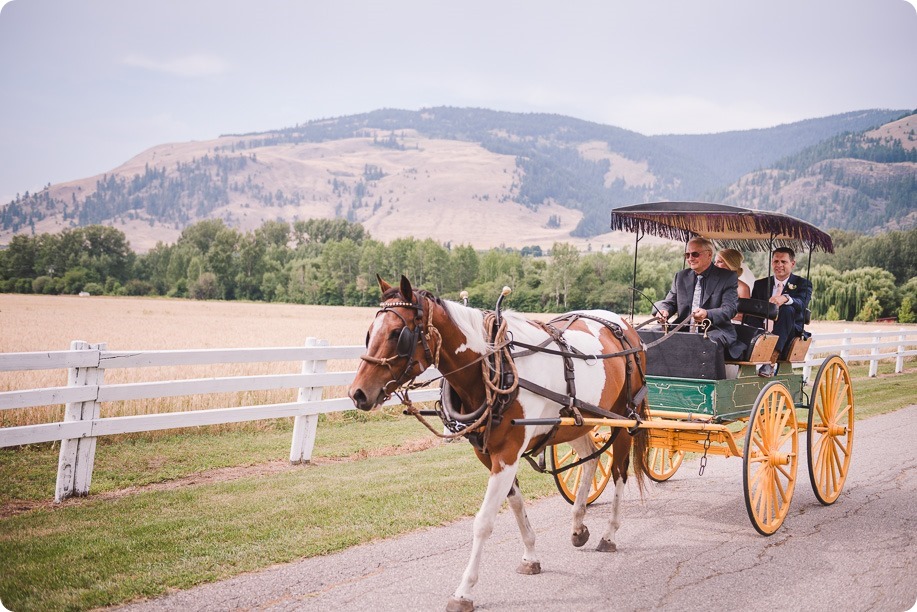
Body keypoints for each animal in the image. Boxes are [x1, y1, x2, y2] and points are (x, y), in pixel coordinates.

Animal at [348, 278, 648, 612]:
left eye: (397, 334)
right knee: (590, 458)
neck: (495, 366)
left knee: (619, 472)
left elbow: (483, 522)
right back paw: (578, 525)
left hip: (624, 419)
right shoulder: (489, 454)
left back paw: (609, 535)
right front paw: (530, 557)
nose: (357, 393)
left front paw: (464, 590)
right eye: (370, 333)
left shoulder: (507, 452)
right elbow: (516, 504)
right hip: (578, 420)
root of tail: (624, 325)